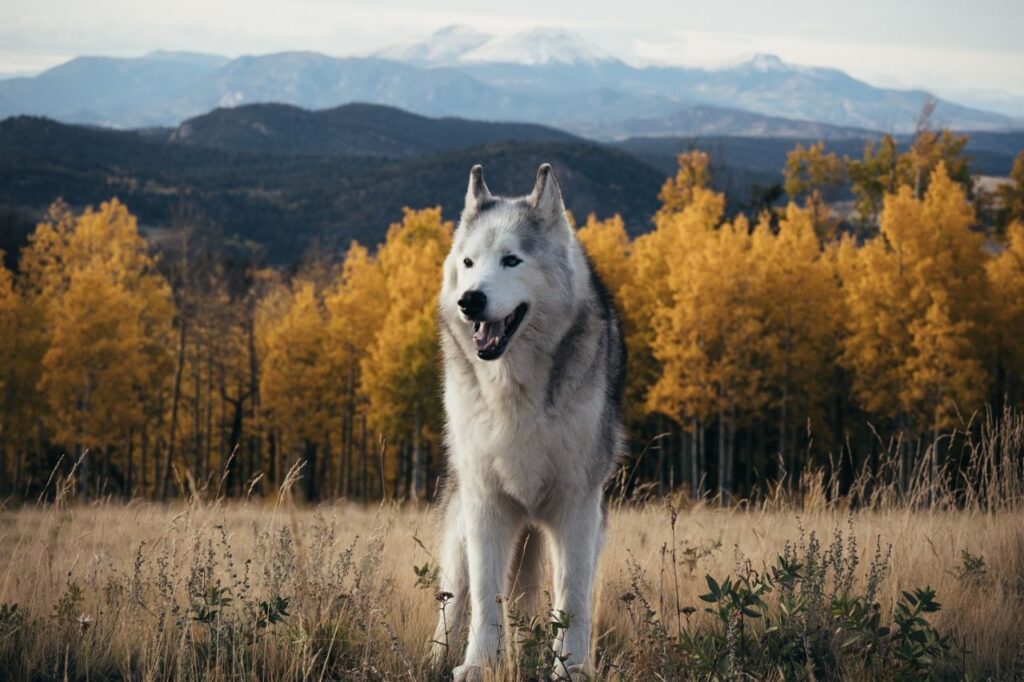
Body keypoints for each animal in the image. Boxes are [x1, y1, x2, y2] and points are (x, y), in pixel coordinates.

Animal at [431, 163, 626, 681]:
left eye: (511, 261)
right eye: (469, 263)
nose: (470, 301)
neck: (513, 390)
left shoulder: (577, 509)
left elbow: (572, 600)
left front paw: (571, 668)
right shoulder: (486, 506)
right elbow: (484, 598)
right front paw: (478, 665)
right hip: (464, 528)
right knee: (454, 599)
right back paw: (437, 657)